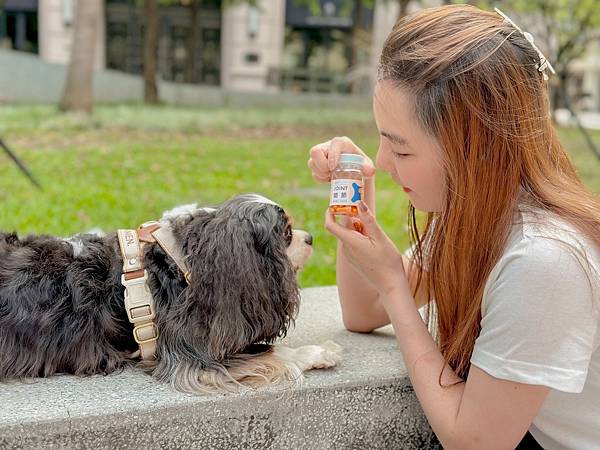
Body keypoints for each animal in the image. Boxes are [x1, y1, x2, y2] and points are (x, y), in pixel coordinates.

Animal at [0, 193, 338, 394]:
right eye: (287, 234)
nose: (311, 237)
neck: (181, 260)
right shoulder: (190, 358)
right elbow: (272, 352)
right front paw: (317, 352)